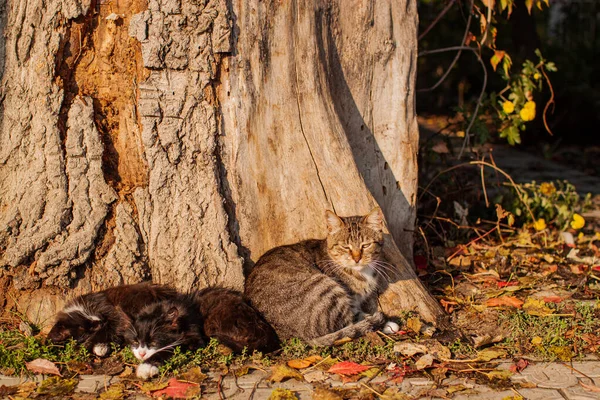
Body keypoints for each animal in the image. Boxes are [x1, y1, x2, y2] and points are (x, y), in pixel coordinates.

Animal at [244, 208, 398, 346]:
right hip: (324, 287)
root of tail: (296, 338)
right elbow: (356, 318)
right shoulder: (351, 303)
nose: (356, 259)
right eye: (345, 247)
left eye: (365, 245)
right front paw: (384, 322)